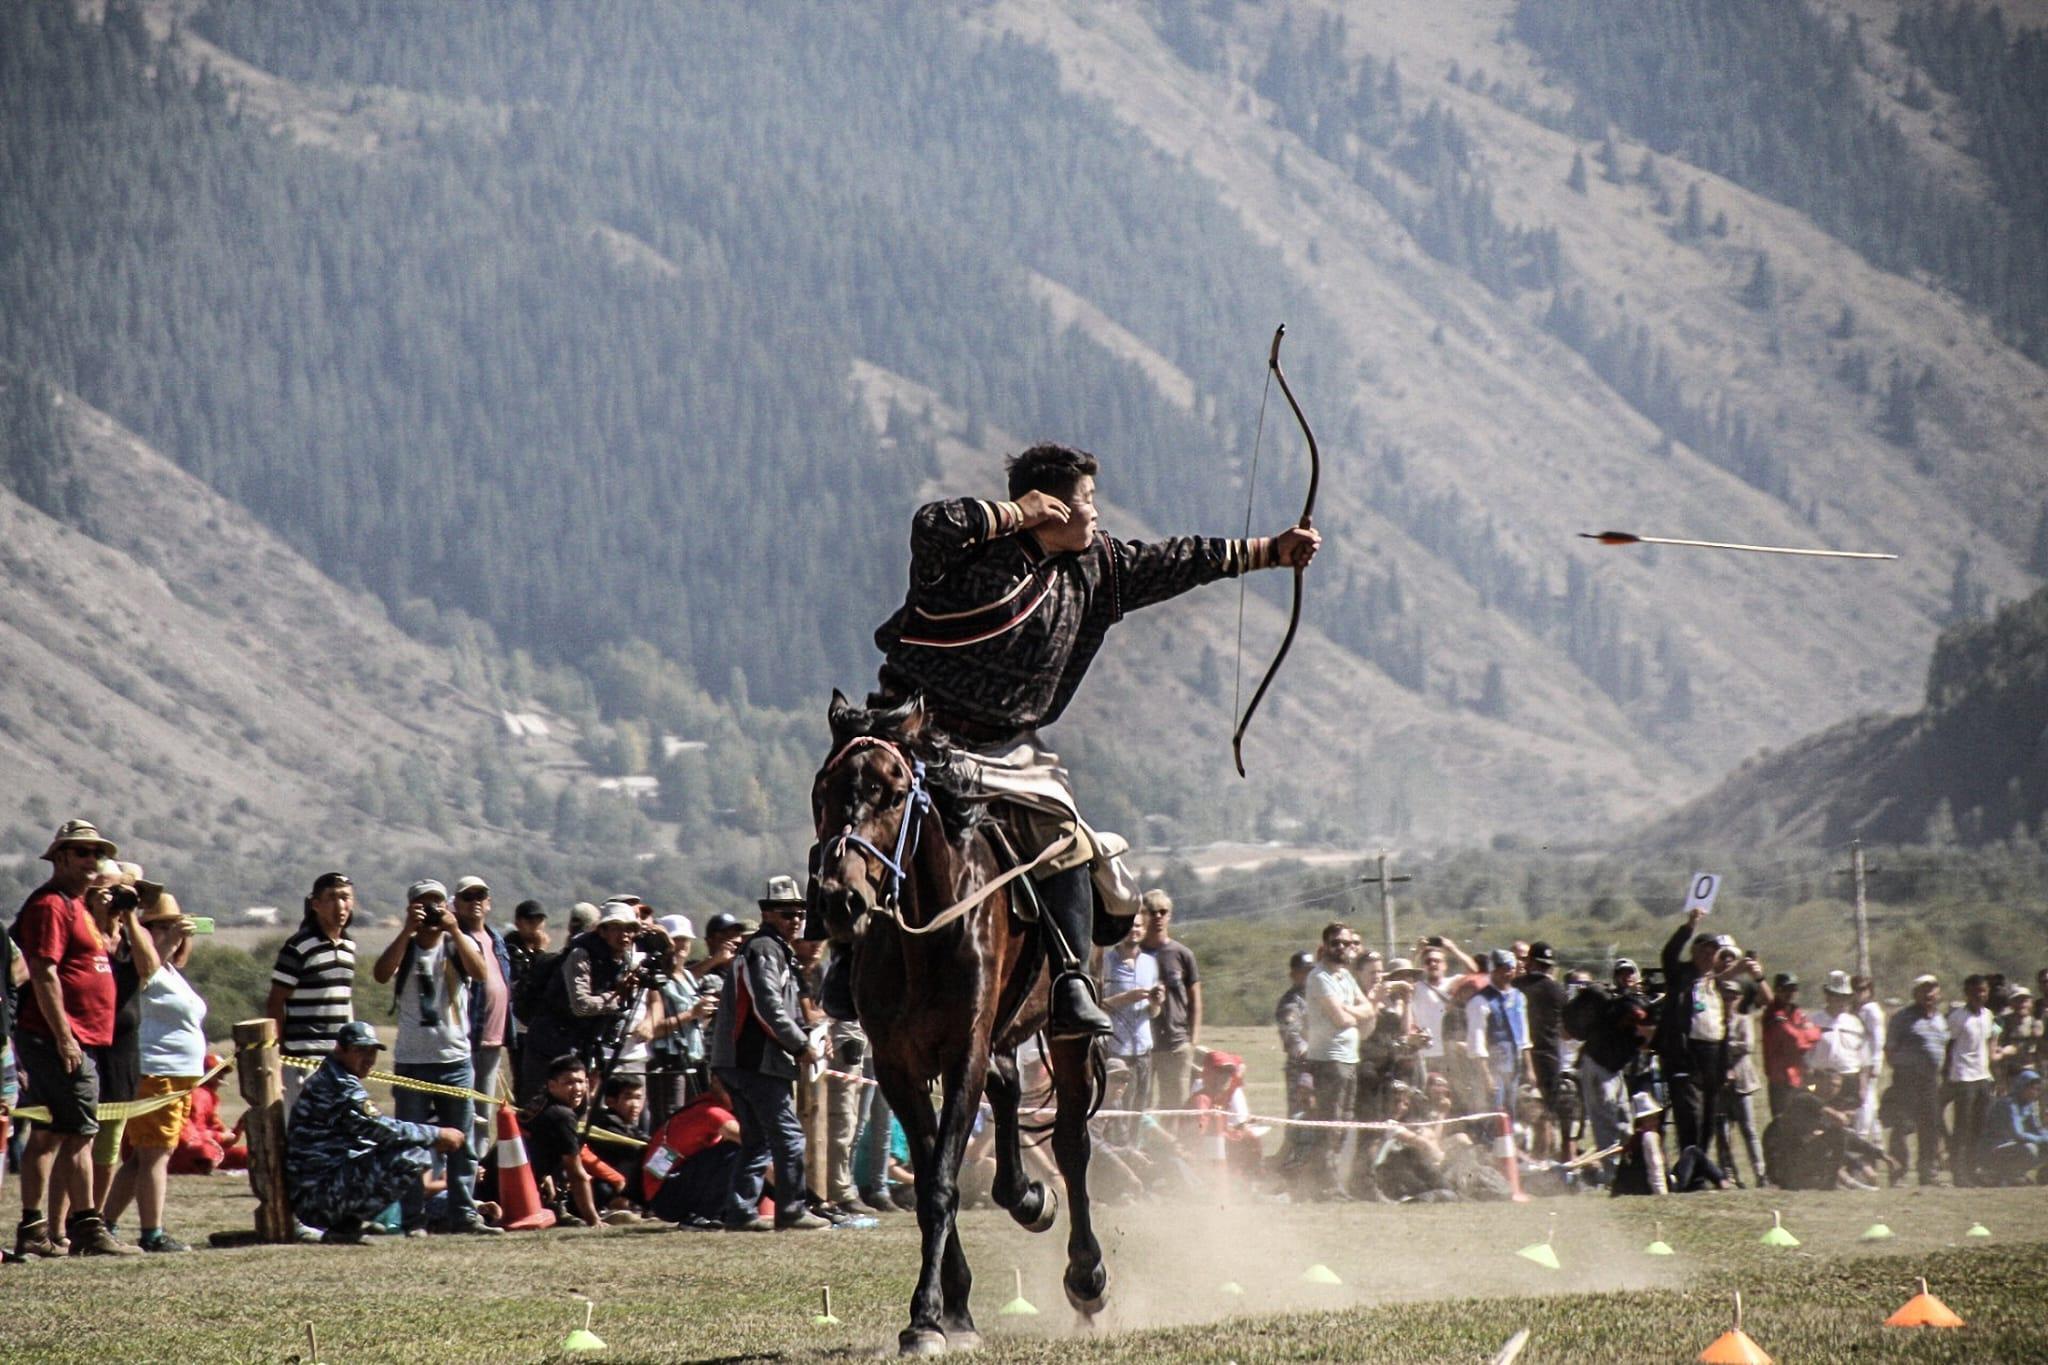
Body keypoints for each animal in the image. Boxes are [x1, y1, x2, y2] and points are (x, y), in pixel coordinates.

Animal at [806, 695, 1114, 1358]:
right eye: (823, 790)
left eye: (894, 792)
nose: (840, 900)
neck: (926, 932)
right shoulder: (898, 1067)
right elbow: (928, 1179)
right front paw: (950, 1313)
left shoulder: (962, 1052)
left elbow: (942, 1182)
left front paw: (927, 1317)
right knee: (1009, 1090)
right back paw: (1026, 1198)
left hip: (1067, 1036)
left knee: (1071, 1143)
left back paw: (1086, 1276)